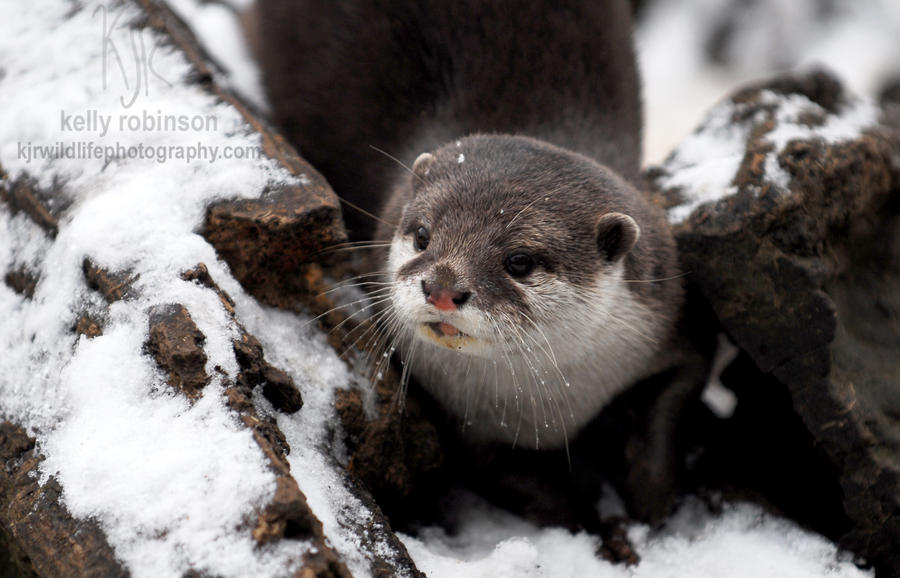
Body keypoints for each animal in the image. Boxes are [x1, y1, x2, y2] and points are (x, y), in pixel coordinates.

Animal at [253, 0, 712, 520]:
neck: (557, 405)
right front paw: (580, 507)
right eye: (423, 235)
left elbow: (676, 397)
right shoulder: (461, 419)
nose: (441, 288)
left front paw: (650, 494)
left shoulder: (671, 318)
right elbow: (505, 477)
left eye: (520, 261)